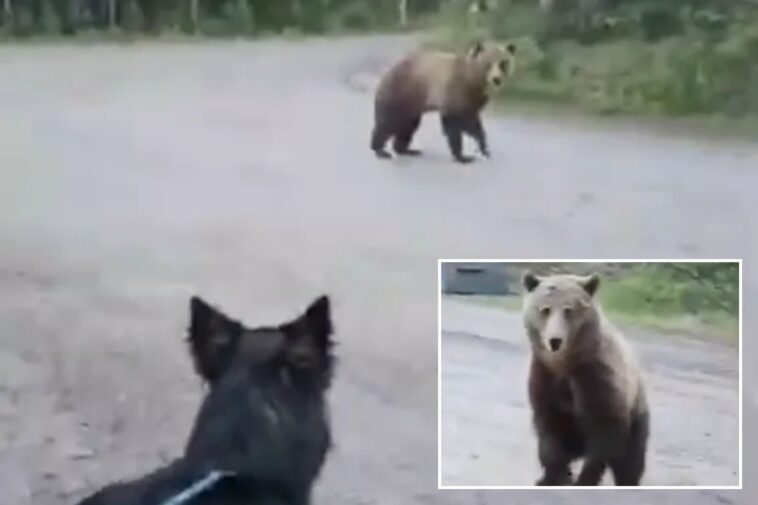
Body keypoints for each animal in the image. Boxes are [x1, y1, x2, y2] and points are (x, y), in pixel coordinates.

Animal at [370, 40, 516, 164]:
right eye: (488, 64)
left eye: (503, 63)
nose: (496, 79)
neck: (473, 81)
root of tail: (386, 73)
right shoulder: (454, 91)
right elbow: (454, 124)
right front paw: (463, 156)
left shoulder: (472, 100)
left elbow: (473, 124)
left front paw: (484, 149)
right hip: (399, 94)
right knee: (388, 123)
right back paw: (380, 150)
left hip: (411, 106)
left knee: (407, 126)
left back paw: (407, 150)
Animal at [521, 271, 650, 486]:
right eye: (545, 309)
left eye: (569, 310)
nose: (555, 341)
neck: (565, 364)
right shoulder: (545, 377)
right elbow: (548, 428)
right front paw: (554, 476)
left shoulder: (595, 377)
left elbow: (603, 433)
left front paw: (584, 478)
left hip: (636, 414)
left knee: (631, 460)